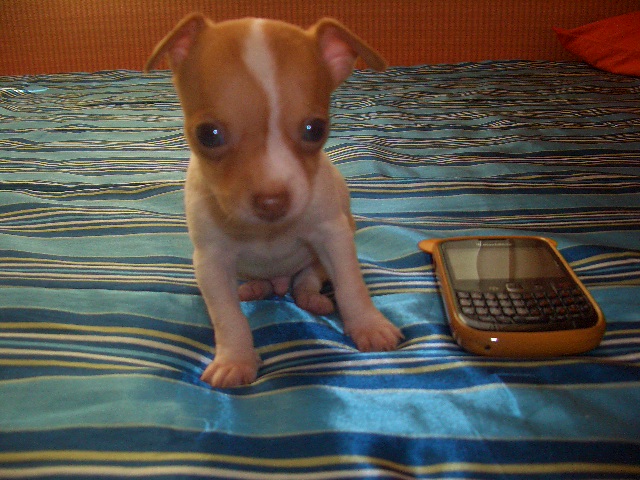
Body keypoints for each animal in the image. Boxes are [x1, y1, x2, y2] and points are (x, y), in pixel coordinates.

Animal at [145, 14, 403, 388]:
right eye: (208, 135)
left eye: (315, 129)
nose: (272, 201)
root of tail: (278, 283)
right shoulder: (211, 262)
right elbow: (227, 317)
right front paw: (235, 360)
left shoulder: (334, 237)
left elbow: (351, 286)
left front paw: (369, 326)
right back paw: (254, 289)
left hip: (317, 259)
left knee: (308, 278)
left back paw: (310, 298)